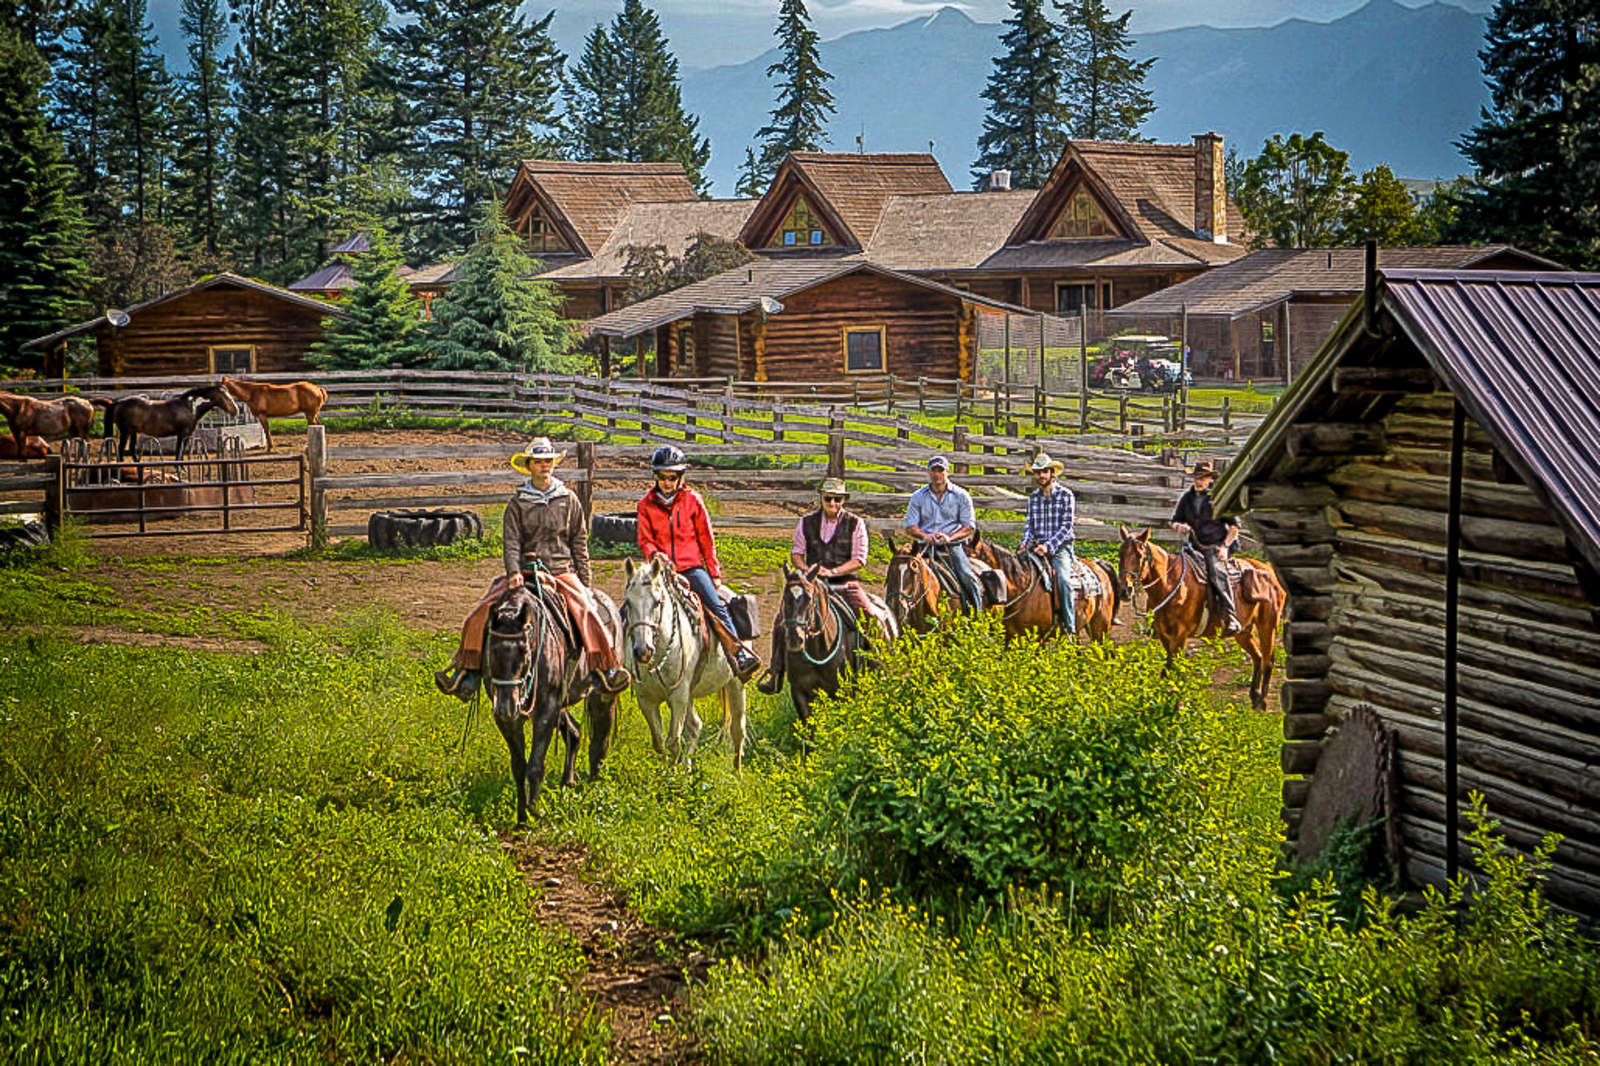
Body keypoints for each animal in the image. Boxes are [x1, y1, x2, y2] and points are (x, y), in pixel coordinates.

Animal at [104, 385, 236, 460]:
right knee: (121, 450)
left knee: (131, 449)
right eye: (226, 396)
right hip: (125, 432)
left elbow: (181, 453)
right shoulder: (182, 434)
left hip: (133, 432)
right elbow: (179, 453)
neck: (190, 407)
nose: (236, 410)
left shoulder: (186, 435)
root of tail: (117, 403)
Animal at [476, 576, 620, 825]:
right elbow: (519, 766)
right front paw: (522, 817)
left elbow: (535, 765)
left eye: (524, 652)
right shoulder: (508, 720)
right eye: (491, 651)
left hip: (602, 695)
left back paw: (594, 784)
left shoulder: (546, 711)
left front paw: (534, 813)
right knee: (574, 732)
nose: (506, 706)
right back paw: (567, 782)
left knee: (599, 739)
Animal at [624, 550, 748, 768]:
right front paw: (667, 771)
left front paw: (672, 776)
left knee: (738, 732)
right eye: (628, 603)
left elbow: (674, 742)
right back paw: (687, 767)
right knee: (696, 726)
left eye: (657, 602)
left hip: (736, 683)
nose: (643, 651)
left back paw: (737, 773)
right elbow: (659, 742)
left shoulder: (679, 696)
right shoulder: (646, 700)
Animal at [1120, 521, 1292, 704]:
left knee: (1268, 659)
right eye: (1120, 554)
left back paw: (1262, 701)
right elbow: (1167, 671)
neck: (1170, 583)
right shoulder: (1164, 636)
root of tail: (1268, 568)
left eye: (1139, 555)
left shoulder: (1179, 636)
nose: (1125, 590)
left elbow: (1173, 669)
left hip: (1268, 625)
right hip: (1243, 631)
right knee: (1258, 656)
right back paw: (1254, 695)